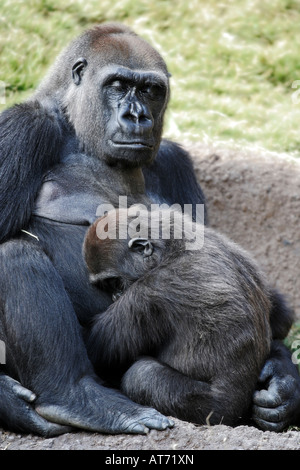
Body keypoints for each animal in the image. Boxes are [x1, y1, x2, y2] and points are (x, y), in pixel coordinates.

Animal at [83, 208, 274, 426]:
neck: (171, 247)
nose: (115, 296)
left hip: (217, 413)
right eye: (106, 286)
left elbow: (96, 351)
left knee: (141, 374)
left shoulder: (150, 290)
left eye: (114, 282)